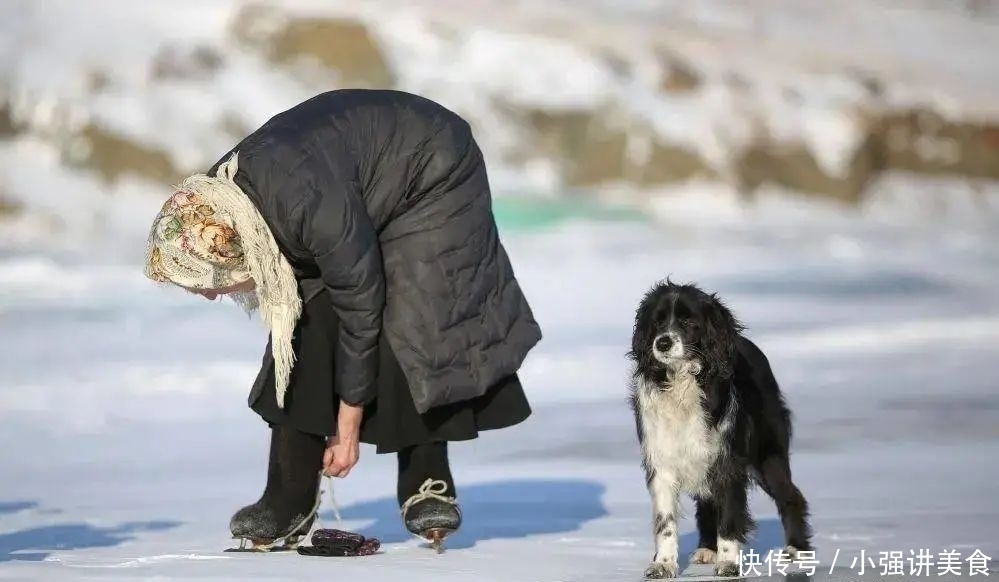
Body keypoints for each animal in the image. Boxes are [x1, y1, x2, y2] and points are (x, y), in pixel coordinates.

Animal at [628, 282, 816, 580]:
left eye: (687, 321)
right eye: (657, 321)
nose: (663, 342)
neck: (682, 381)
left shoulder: (728, 460)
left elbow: (729, 514)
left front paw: (728, 564)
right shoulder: (662, 460)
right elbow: (665, 521)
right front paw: (664, 564)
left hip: (768, 456)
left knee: (790, 495)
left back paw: (796, 549)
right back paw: (707, 549)